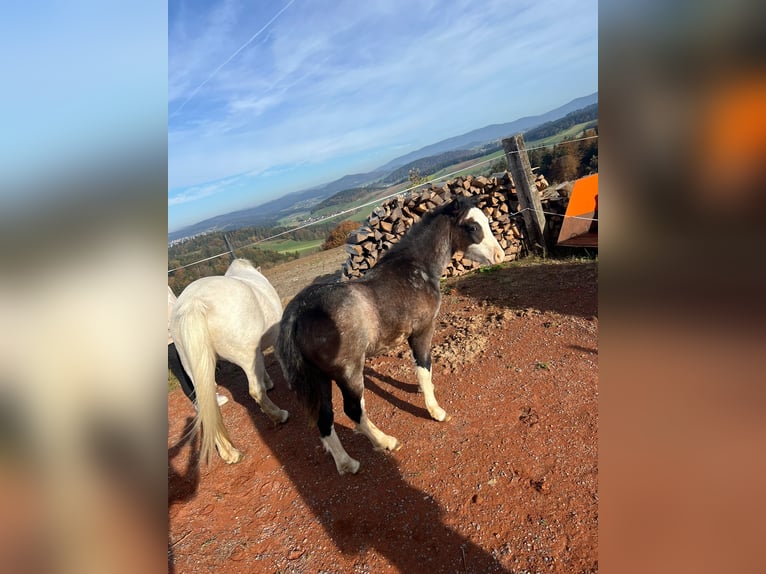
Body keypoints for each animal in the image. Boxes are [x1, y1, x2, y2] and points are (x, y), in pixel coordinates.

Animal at [172, 258, 290, 466]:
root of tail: (193, 303)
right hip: (247, 356)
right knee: (255, 390)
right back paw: (279, 415)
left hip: (193, 367)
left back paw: (230, 453)